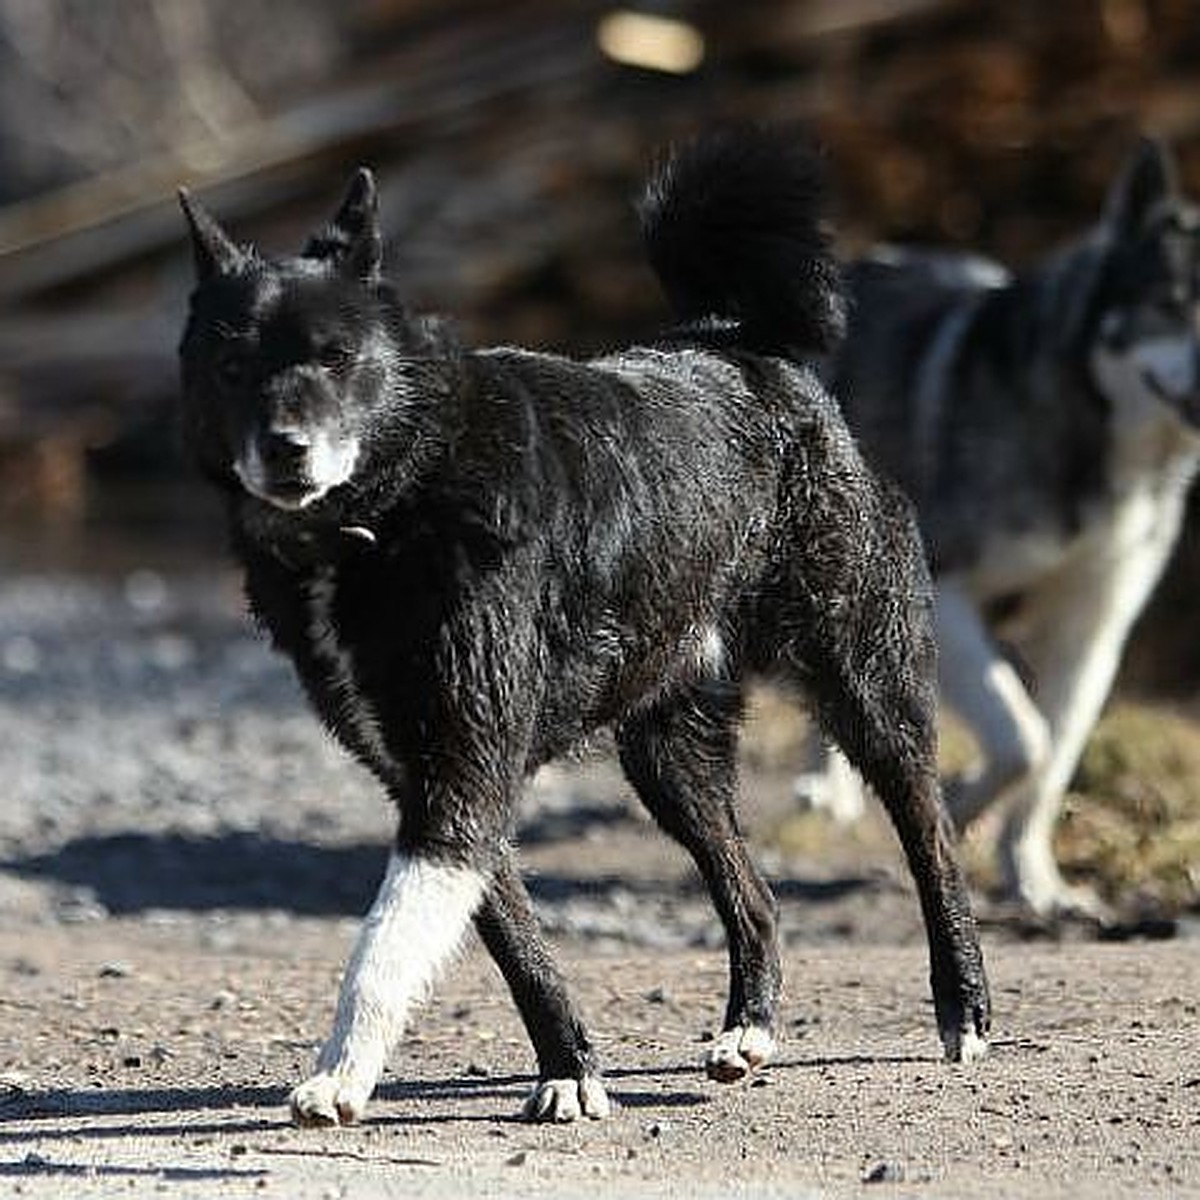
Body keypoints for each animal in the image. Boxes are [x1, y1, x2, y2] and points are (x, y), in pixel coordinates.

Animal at [175, 131, 984, 1123]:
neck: (394, 509)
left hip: (863, 684)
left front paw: (339, 1074)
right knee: (753, 892)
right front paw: (570, 1070)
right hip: (671, 758)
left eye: (335, 356)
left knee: (930, 833)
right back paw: (747, 1031)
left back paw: (963, 1006)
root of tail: (738, 343)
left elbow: (382, 945)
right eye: (231, 367)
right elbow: (509, 941)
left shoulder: (462, 770)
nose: (285, 450)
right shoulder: (432, 780)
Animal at [796, 138, 1200, 916]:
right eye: (1172, 305)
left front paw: (1034, 879)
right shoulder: (945, 593)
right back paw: (823, 789)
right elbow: (1023, 740)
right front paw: (958, 809)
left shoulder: (1092, 630)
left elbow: (1050, 760)